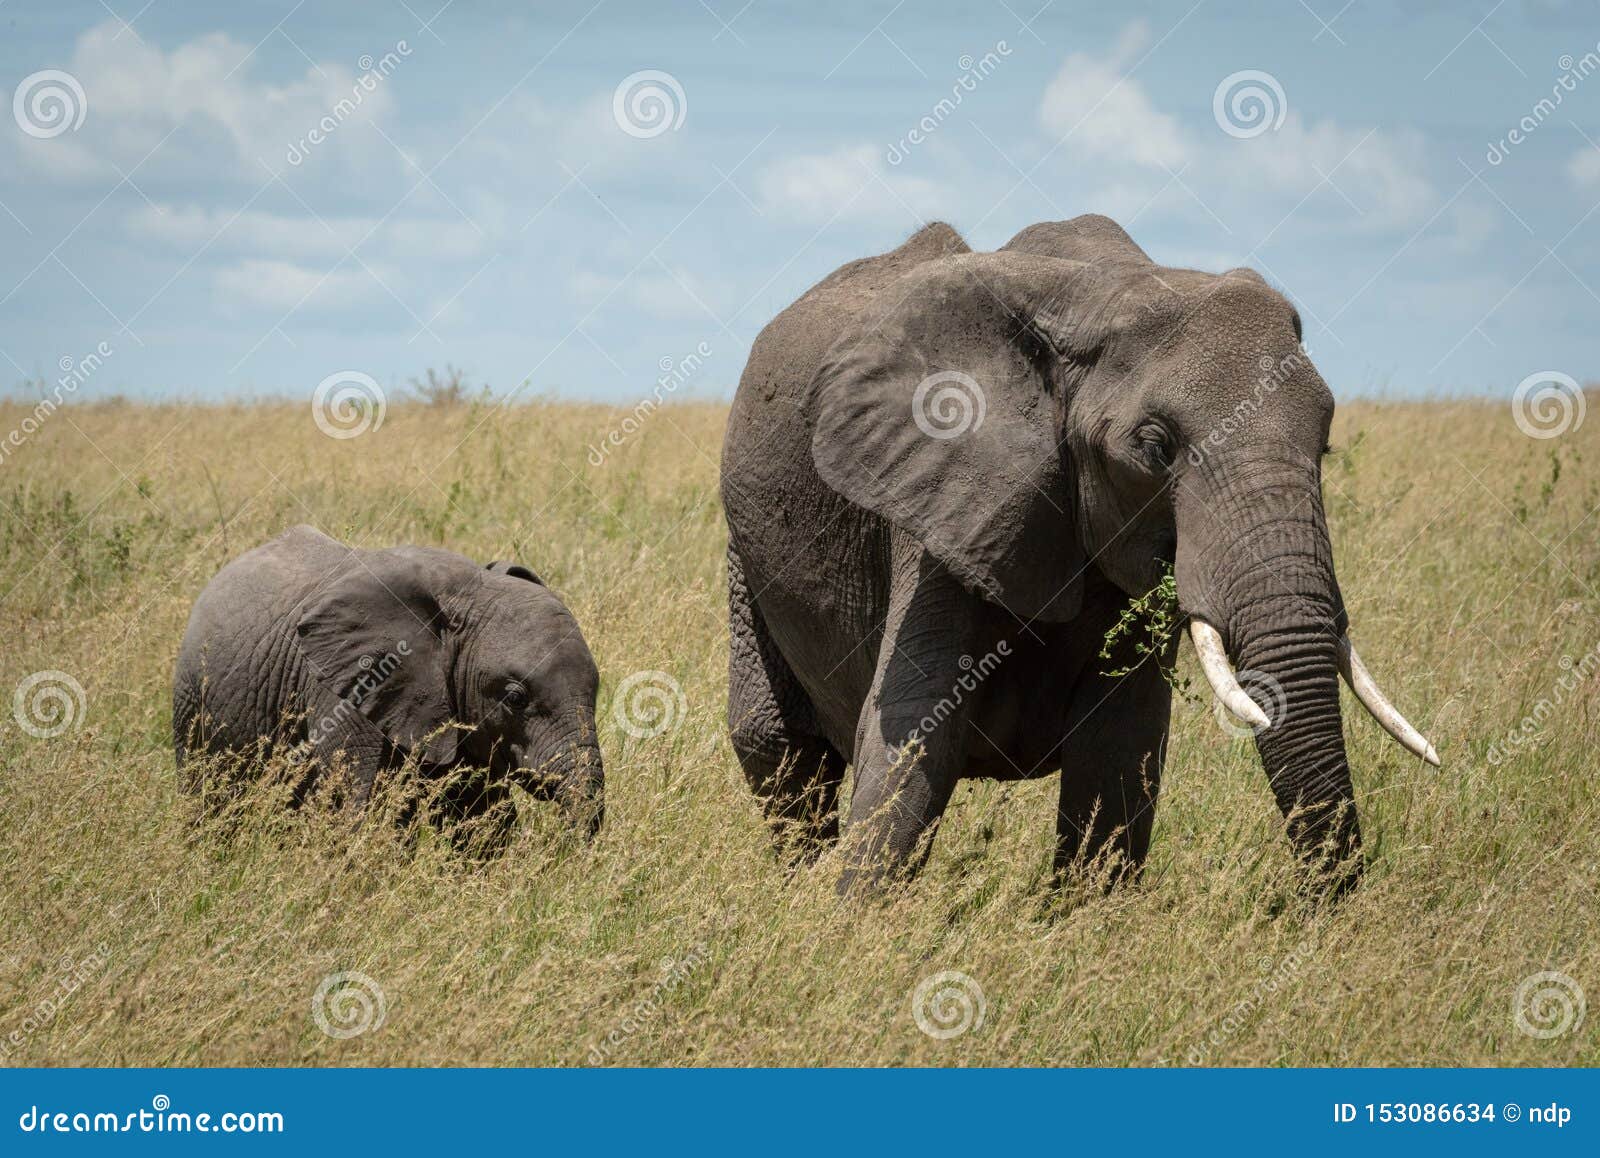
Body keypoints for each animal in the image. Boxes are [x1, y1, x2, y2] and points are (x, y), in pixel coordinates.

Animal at [720, 215, 1436, 895]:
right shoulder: (936, 511)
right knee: (776, 745)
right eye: (1155, 447)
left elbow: (1117, 747)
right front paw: (848, 920)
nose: (1326, 908)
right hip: (743, 555)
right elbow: (914, 731)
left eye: (1325, 444)